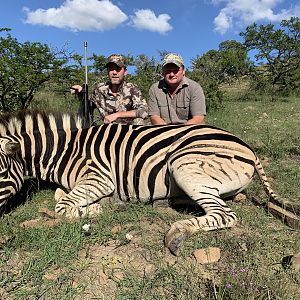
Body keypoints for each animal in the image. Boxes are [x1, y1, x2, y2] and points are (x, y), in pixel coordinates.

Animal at [0, 110, 284, 255]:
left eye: (1, 173)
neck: (66, 151)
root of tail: (249, 149)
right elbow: (59, 196)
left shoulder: (100, 178)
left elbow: (62, 206)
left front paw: (101, 207)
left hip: (184, 165)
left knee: (225, 215)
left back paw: (176, 234)